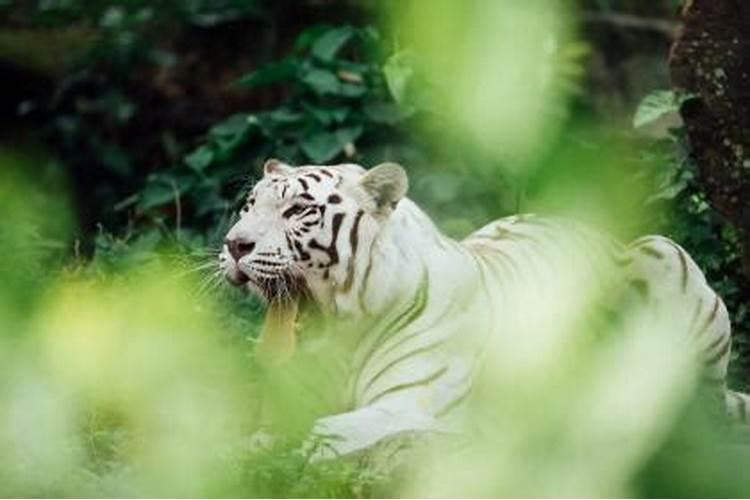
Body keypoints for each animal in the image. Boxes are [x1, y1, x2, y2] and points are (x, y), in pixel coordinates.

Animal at [219, 160, 750, 460]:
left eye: (298, 211)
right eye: (248, 207)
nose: (234, 244)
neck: (343, 336)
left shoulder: (414, 408)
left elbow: (323, 435)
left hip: (664, 253)